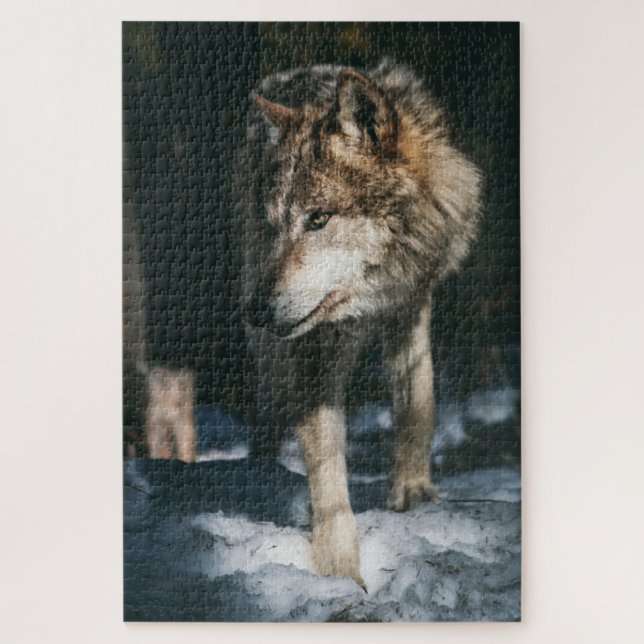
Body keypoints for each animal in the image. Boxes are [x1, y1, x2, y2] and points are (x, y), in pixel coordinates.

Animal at [239, 62, 481, 589]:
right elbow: (327, 467)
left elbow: (418, 404)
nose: (255, 311)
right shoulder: (314, 346)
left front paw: (413, 492)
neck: (368, 299)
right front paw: (339, 572)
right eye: (275, 225)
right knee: (268, 405)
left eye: (319, 218)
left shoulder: (411, 304)